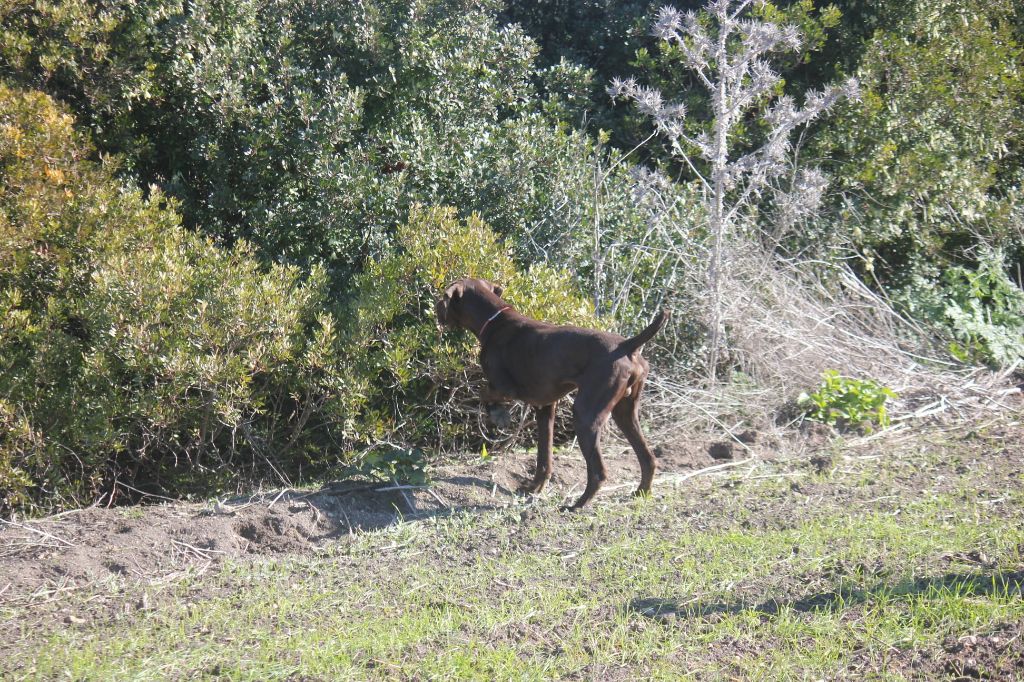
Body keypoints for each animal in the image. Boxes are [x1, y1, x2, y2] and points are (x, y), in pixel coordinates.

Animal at [436, 274, 667, 503]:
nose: (436, 306)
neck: (494, 321)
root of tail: (627, 346)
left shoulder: (505, 388)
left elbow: (484, 393)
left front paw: (498, 415)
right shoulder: (545, 407)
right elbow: (544, 456)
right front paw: (536, 487)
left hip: (585, 416)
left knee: (599, 472)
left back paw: (576, 505)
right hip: (625, 413)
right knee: (648, 459)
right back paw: (641, 493)